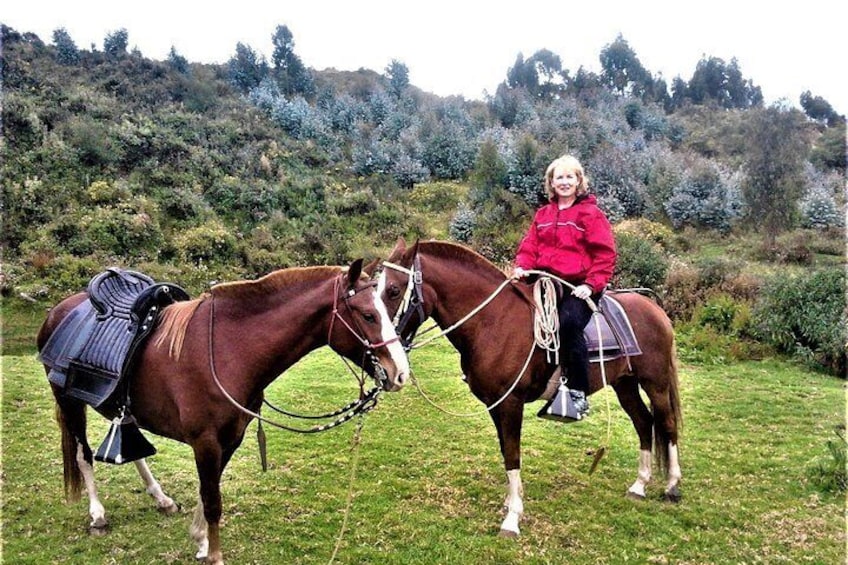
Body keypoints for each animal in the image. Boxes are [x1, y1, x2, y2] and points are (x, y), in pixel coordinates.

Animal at [36, 260, 410, 564]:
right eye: (368, 315)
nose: (400, 373)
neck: (229, 349)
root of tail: (58, 312)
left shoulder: (231, 438)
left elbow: (209, 491)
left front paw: (201, 541)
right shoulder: (206, 442)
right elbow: (213, 498)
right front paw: (214, 554)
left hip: (118, 407)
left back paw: (161, 498)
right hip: (70, 403)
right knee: (84, 455)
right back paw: (97, 514)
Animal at [378, 239, 684, 536]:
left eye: (393, 290)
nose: (379, 347)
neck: (493, 322)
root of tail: (655, 309)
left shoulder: (510, 403)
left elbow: (513, 454)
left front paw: (512, 519)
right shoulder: (495, 404)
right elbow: (505, 451)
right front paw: (509, 502)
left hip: (655, 383)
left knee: (667, 425)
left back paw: (672, 486)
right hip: (625, 384)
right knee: (644, 423)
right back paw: (639, 486)